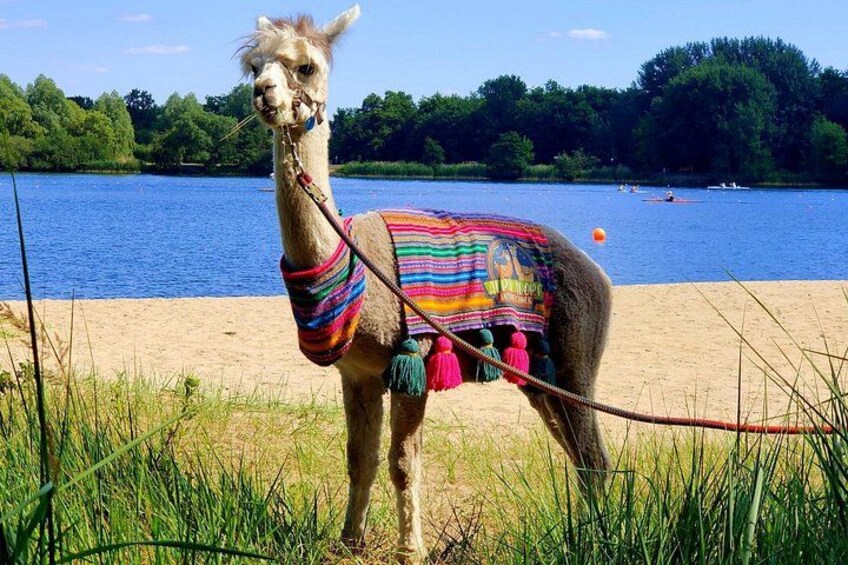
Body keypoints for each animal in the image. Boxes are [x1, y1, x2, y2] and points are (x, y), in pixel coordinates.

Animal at [240, 6, 612, 561]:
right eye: (254, 66)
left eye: (305, 67)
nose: (263, 93)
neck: (358, 264)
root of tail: (596, 270)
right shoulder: (359, 372)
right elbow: (360, 458)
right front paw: (350, 541)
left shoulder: (411, 357)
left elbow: (403, 462)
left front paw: (409, 549)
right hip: (541, 371)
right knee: (579, 454)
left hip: (576, 353)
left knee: (594, 457)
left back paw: (603, 538)